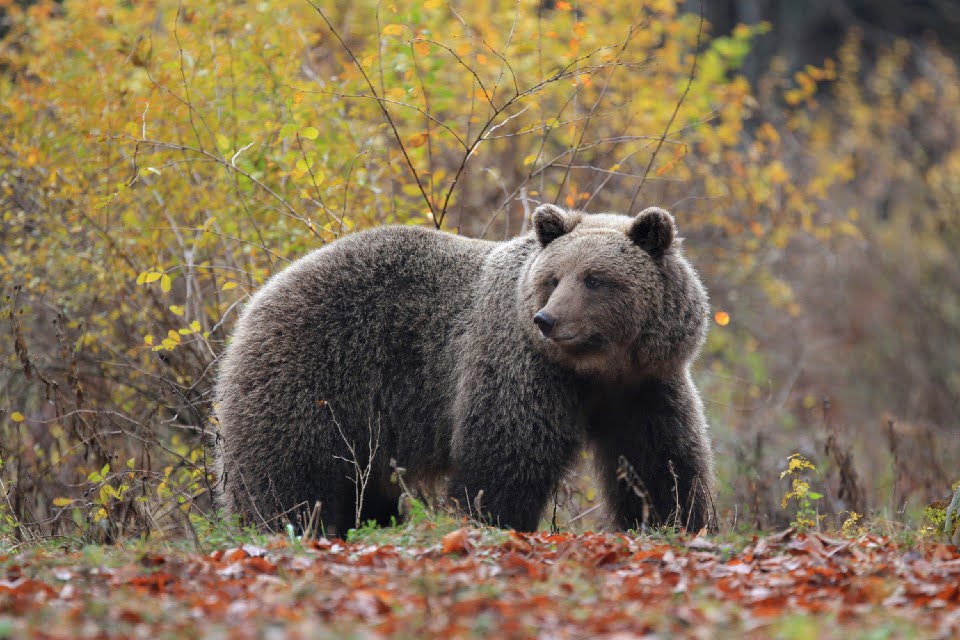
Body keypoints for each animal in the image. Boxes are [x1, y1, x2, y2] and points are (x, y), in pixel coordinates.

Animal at [216, 205, 712, 536]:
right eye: (553, 278)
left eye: (595, 279)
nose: (547, 320)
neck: (596, 368)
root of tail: (258, 297)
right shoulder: (520, 367)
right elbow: (506, 454)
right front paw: (496, 520)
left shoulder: (645, 385)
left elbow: (661, 460)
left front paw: (675, 520)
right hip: (313, 376)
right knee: (286, 475)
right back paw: (285, 527)